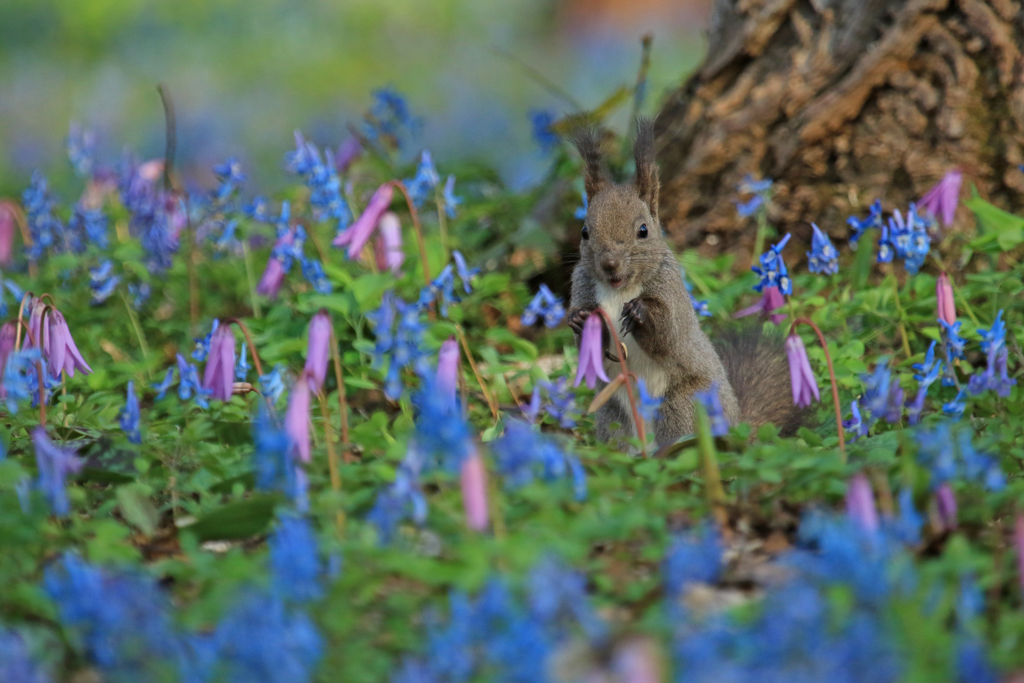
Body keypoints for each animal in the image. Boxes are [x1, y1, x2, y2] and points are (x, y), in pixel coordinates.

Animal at [565, 120, 802, 446]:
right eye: (585, 232)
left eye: (643, 230)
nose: (610, 264)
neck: (618, 290)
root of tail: (735, 428)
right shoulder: (582, 285)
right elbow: (588, 350)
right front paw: (579, 318)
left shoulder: (670, 289)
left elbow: (670, 335)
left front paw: (640, 311)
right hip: (613, 416)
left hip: (684, 405)